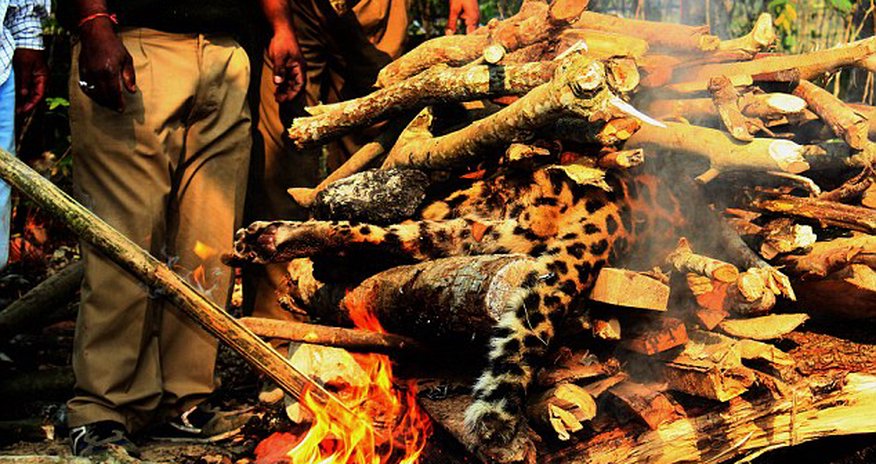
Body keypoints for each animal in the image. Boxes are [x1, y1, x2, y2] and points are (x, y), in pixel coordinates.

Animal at [232, 161, 688, 446]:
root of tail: (606, 208)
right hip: (477, 231)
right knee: (378, 235)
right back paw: (269, 240)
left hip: (473, 229)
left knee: (383, 237)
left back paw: (276, 242)